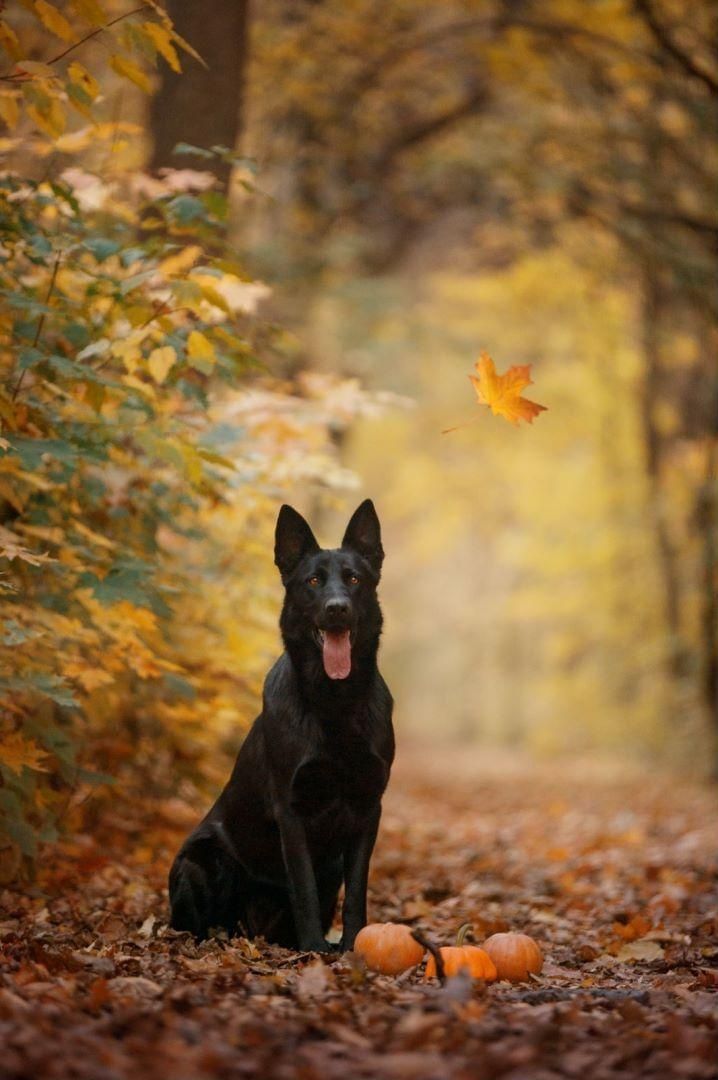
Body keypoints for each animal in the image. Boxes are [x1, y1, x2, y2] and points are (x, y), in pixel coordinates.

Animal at [168, 501, 393, 950]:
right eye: (313, 581)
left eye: (354, 579)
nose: (337, 608)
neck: (335, 700)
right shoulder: (292, 812)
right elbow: (302, 887)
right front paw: (314, 950)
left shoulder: (368, 807)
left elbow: (356, 890)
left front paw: (351, 945)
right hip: (201, 857)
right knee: (190, 923)